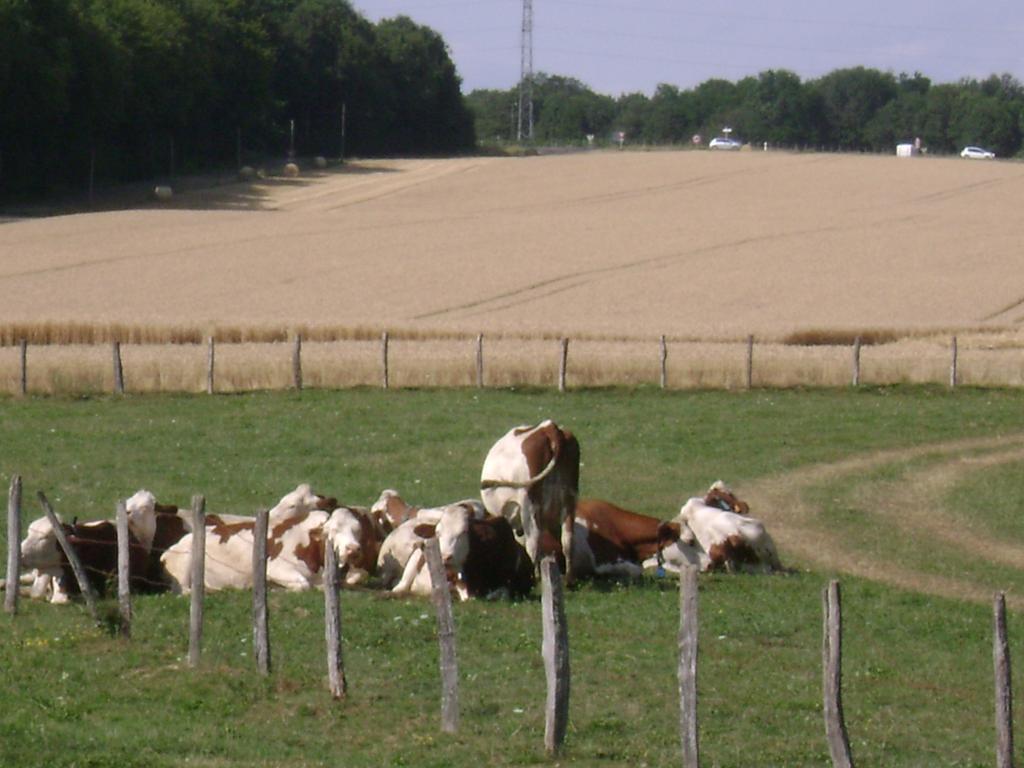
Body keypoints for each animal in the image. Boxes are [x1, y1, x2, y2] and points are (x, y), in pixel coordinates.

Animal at [481, 421, 581, 581]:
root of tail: (548, 427)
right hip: (569, 498)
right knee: (568, 540)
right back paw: (569, 577)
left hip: (529, 504)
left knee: (533, 543)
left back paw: (536, 577)